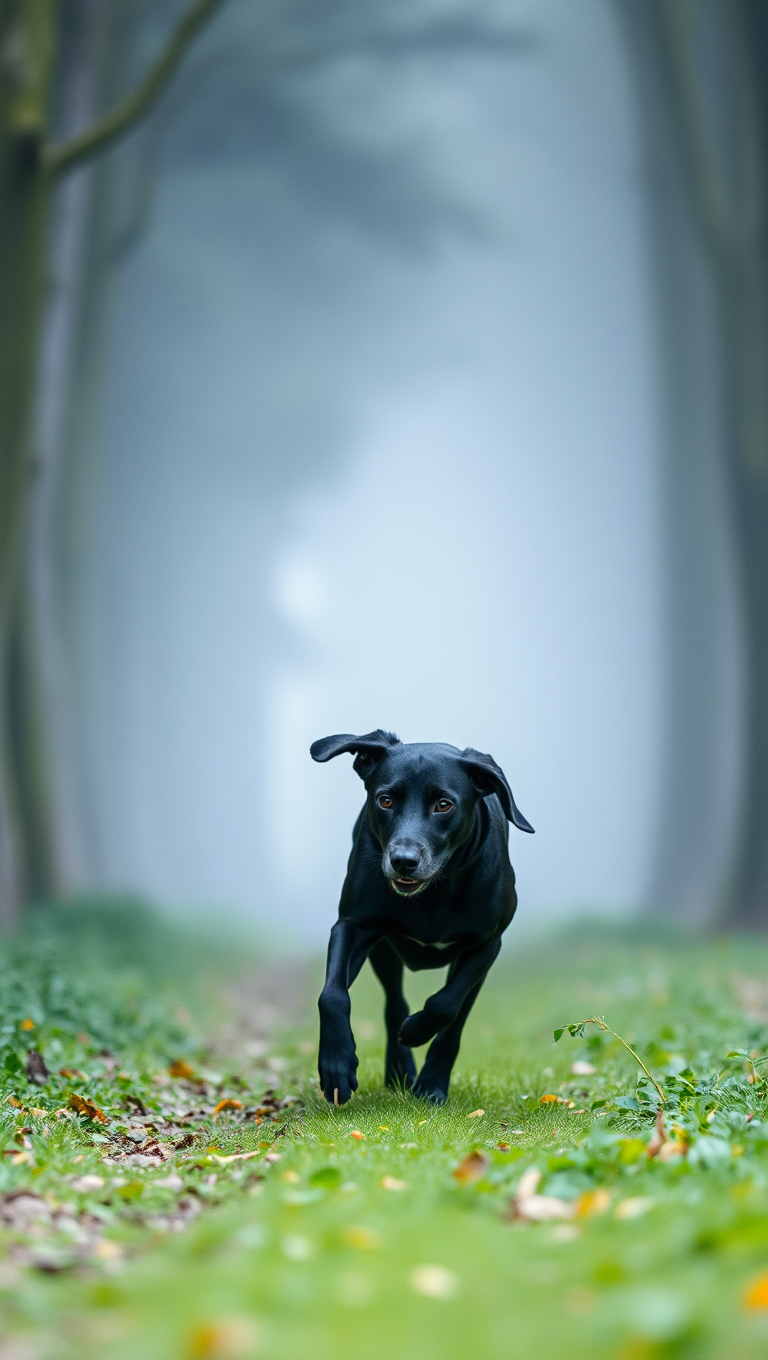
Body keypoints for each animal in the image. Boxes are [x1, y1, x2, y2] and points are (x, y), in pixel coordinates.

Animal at [308, 734, 530, 1104]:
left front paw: (428, 1071)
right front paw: (336, 1064)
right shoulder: (352, 925)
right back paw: (399, 1068)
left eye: (443, 804)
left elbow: (448, 1008)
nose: (403, 860)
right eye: (385, 800)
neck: (433, 892)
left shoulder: (486, 944)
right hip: (383, 949)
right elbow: (332, 995)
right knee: (394, 1002)